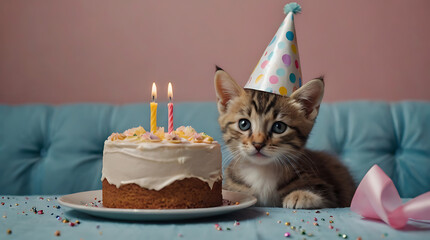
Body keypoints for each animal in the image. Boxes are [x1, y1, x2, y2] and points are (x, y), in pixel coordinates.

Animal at [213, 69, 354, 208]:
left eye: (279, 127)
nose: (258, 144)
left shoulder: (331, 193)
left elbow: (327, 198)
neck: (262, 171)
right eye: (244, 124)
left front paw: (302, 195)